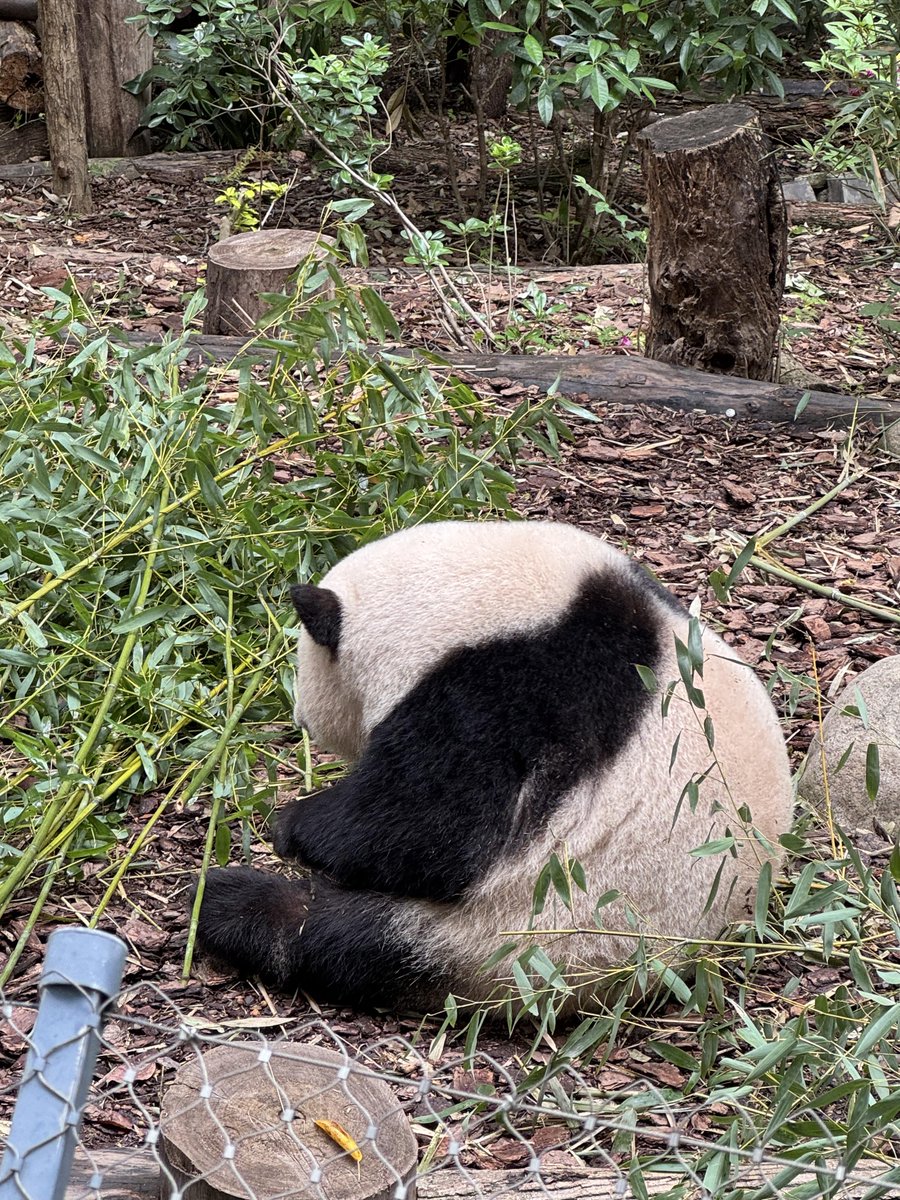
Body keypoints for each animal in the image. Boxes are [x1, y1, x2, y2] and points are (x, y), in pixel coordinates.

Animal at [196, 520, 793, 1012]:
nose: (301, 719)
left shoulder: (515, 688)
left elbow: (433, 826)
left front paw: (295, 826)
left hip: (521, 929)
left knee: (333, 938)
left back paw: (227, 903)